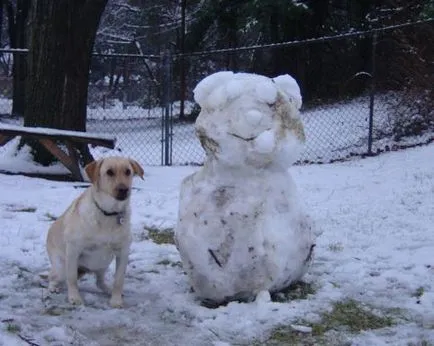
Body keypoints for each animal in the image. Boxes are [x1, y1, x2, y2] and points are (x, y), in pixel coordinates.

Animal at [45, 155, 144, 306]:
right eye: (109, 172)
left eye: (128, 171)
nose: (123, 189)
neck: (109, 213)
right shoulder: (73, 249)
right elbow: (71, 278)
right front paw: (74, 297)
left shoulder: (123, 251)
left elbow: (119, 280)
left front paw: (116, 300)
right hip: (61, 266)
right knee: (53, 277)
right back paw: (53, 288)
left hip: (103, 263)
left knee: (99, 282)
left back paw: (108, 290)